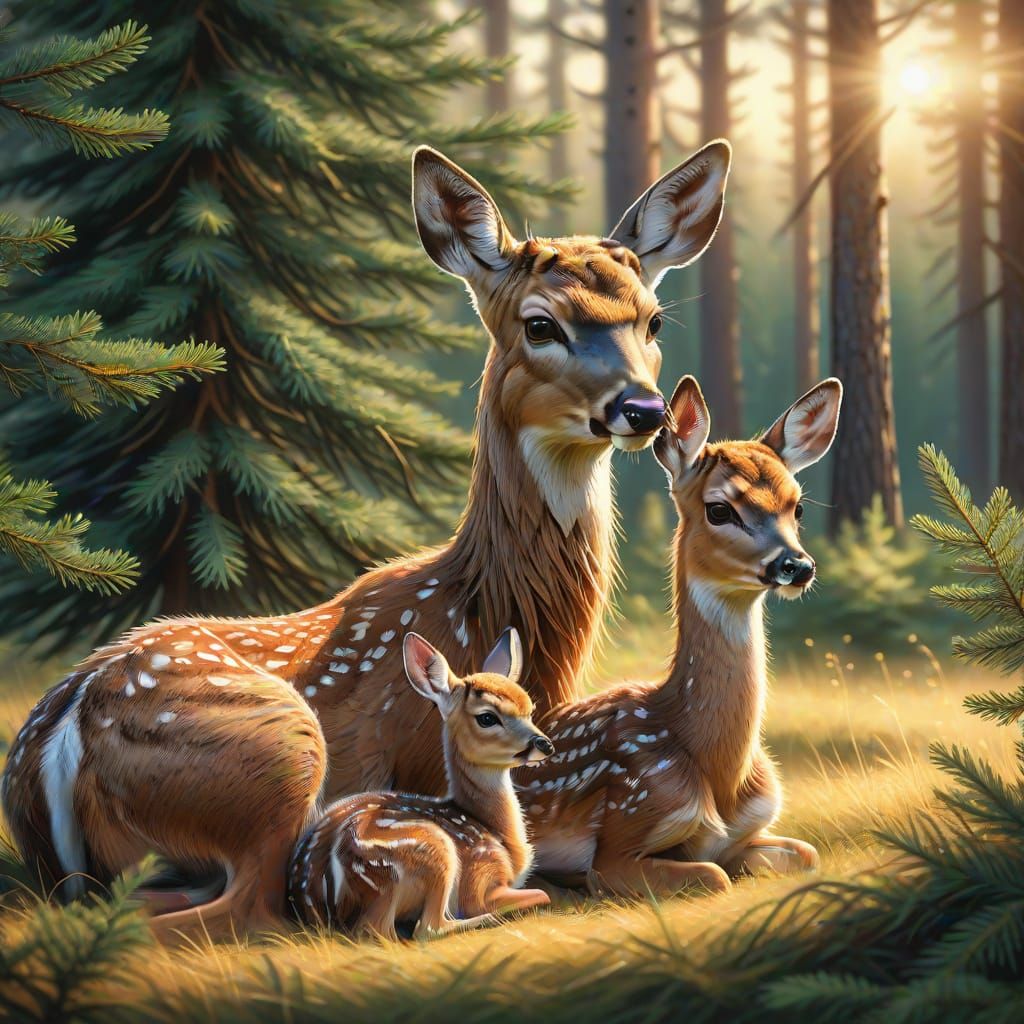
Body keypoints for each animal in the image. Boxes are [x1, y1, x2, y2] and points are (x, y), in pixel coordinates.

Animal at [288, 628, 553, 940]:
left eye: (530, 709)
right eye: (487, 717)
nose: (544, 744)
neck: (497, 834)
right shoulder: (481, 880)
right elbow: (540, 895)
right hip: (432, 851)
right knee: (421, 929)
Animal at [518, 375, 843, 899]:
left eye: (798, 507)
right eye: (719, 509)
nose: (797, 566)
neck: (721, 772)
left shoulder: (747, 831)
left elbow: (806, 853)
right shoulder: (629, 823)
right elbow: (714, 876)